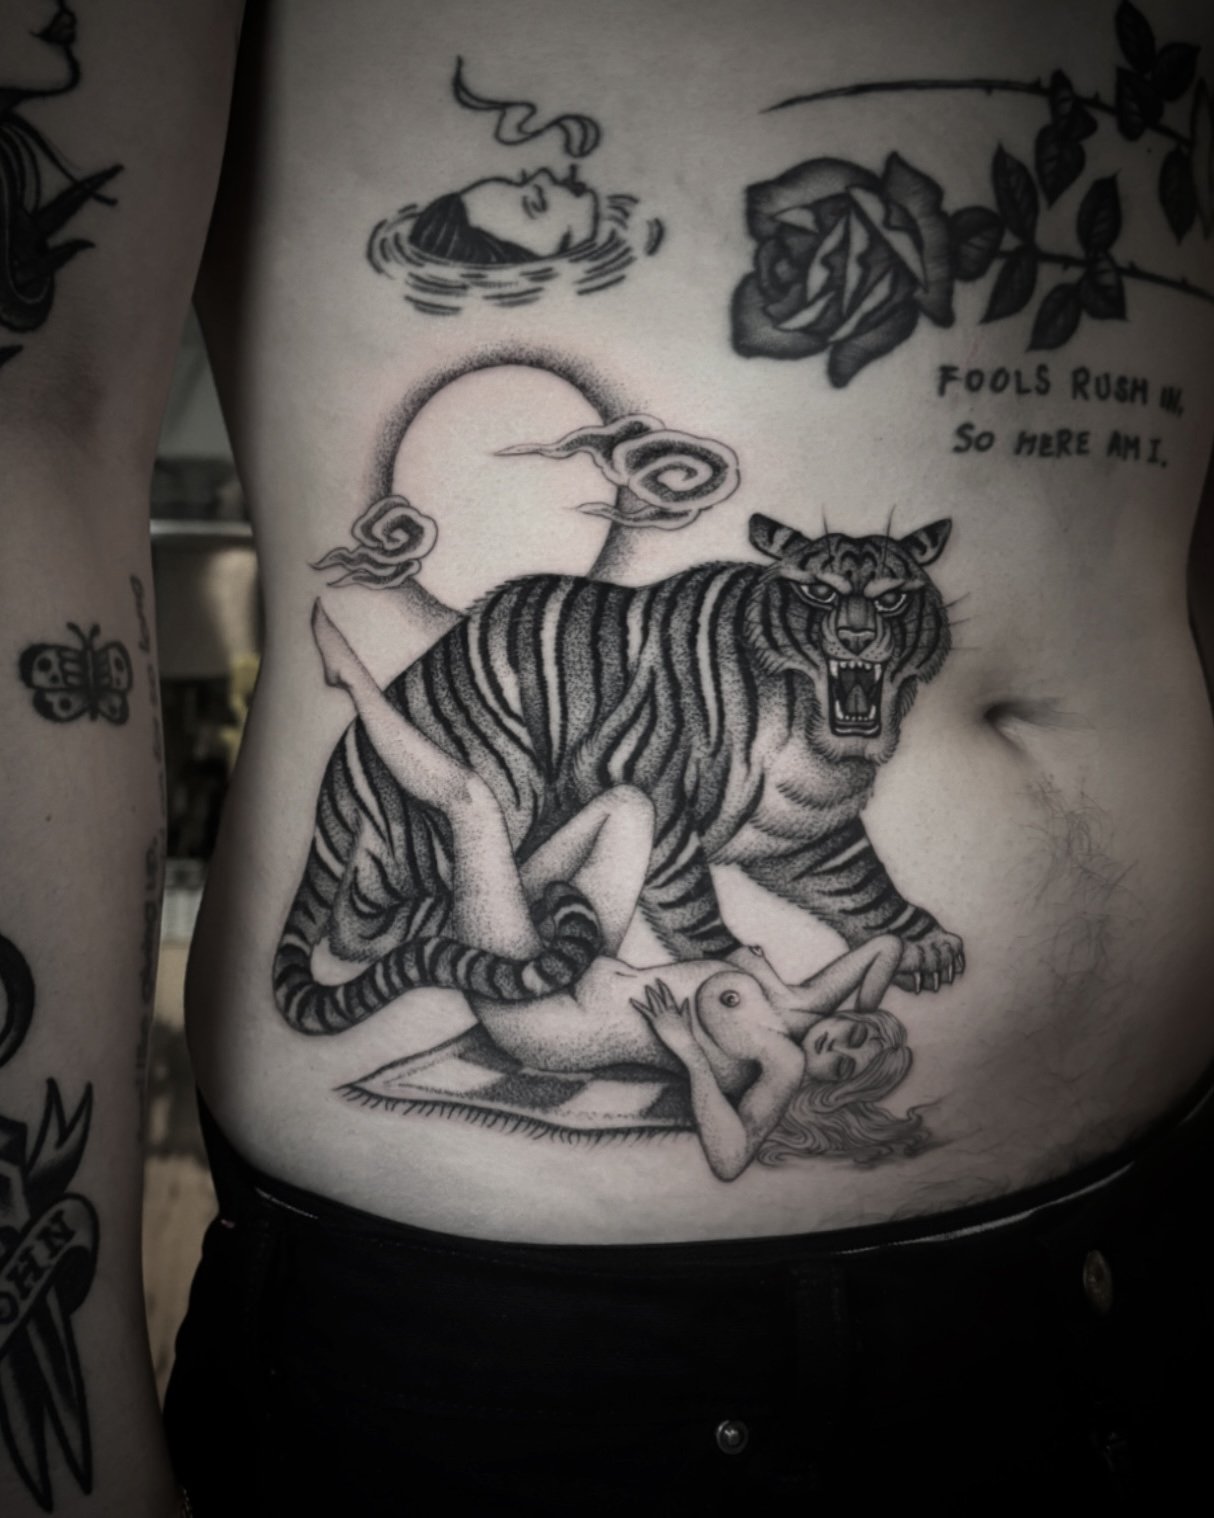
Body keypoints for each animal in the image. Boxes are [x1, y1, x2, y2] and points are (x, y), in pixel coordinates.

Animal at [273, 511, 961, 1034]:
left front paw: (923, 940)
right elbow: (693, 904)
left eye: (892, 598)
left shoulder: (802, 827)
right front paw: (740, 970)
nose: (856, 635)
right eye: (820, 592)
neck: (810, 727)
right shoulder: (653, 789)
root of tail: (335, 776)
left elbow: (862, 881)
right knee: (359, 925)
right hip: (494, 782)